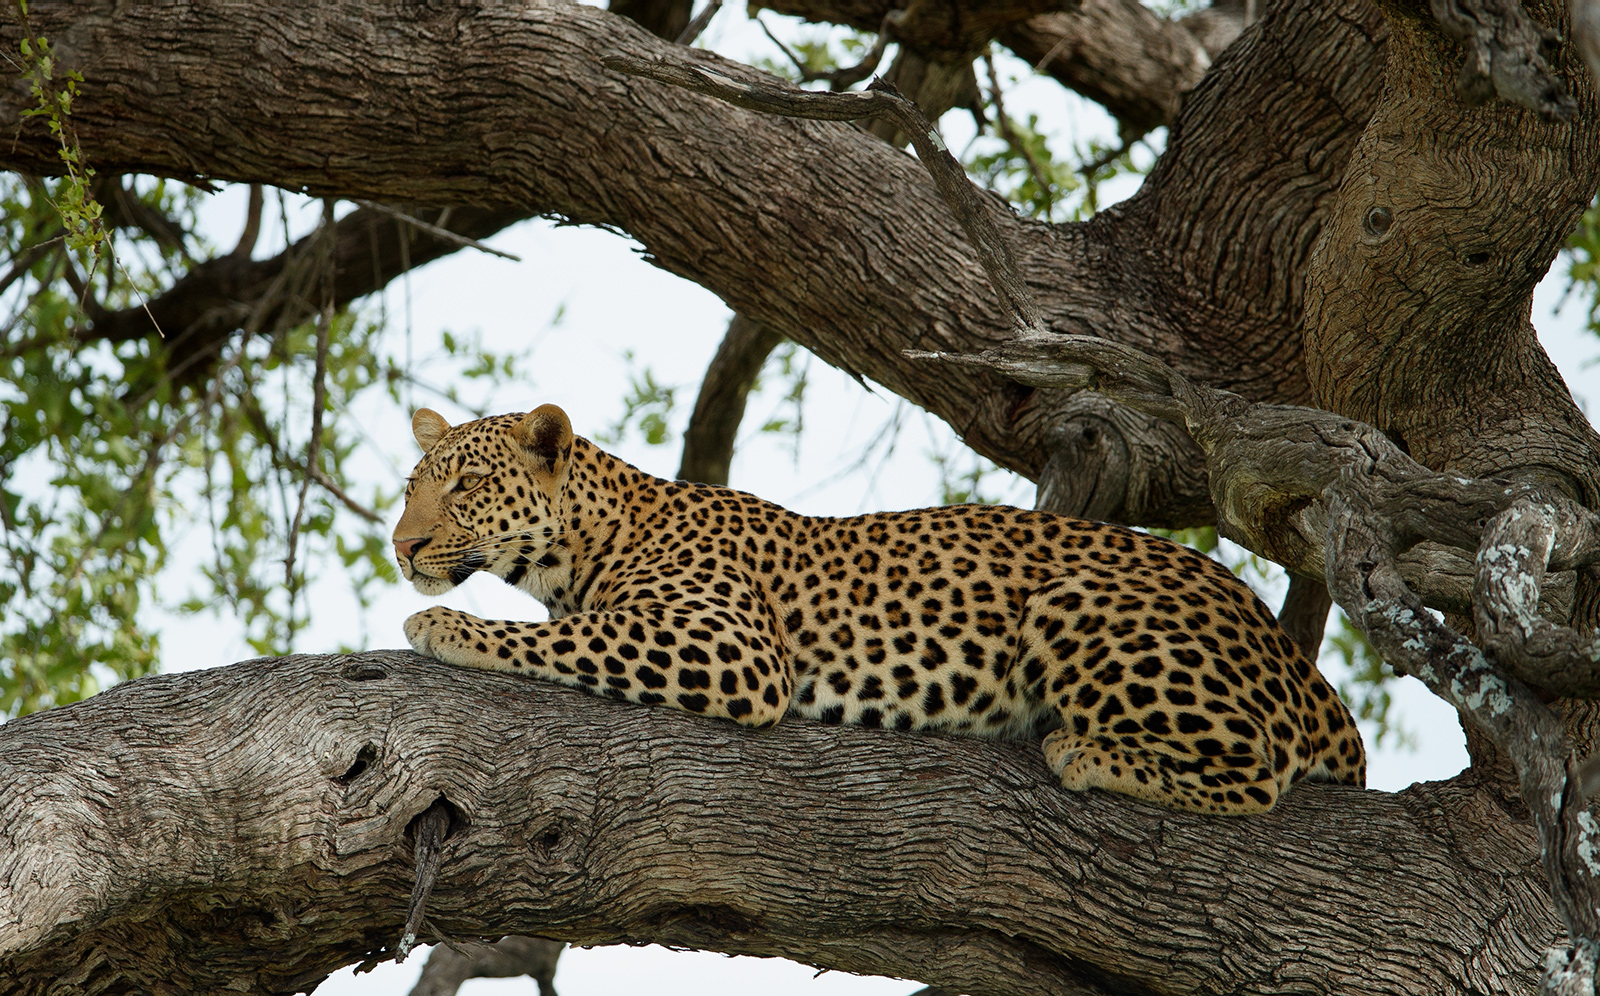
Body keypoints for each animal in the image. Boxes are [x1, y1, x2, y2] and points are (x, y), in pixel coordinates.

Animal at [393, 404, 1366, 814]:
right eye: (412, 487)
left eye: (466, 486)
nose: (401, 547)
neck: (589, 542)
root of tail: (1299, 666)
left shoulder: (732, 646)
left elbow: (566, 636)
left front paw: (442, 626)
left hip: (1079, 602)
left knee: (1257, 775)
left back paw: (1084, 751)